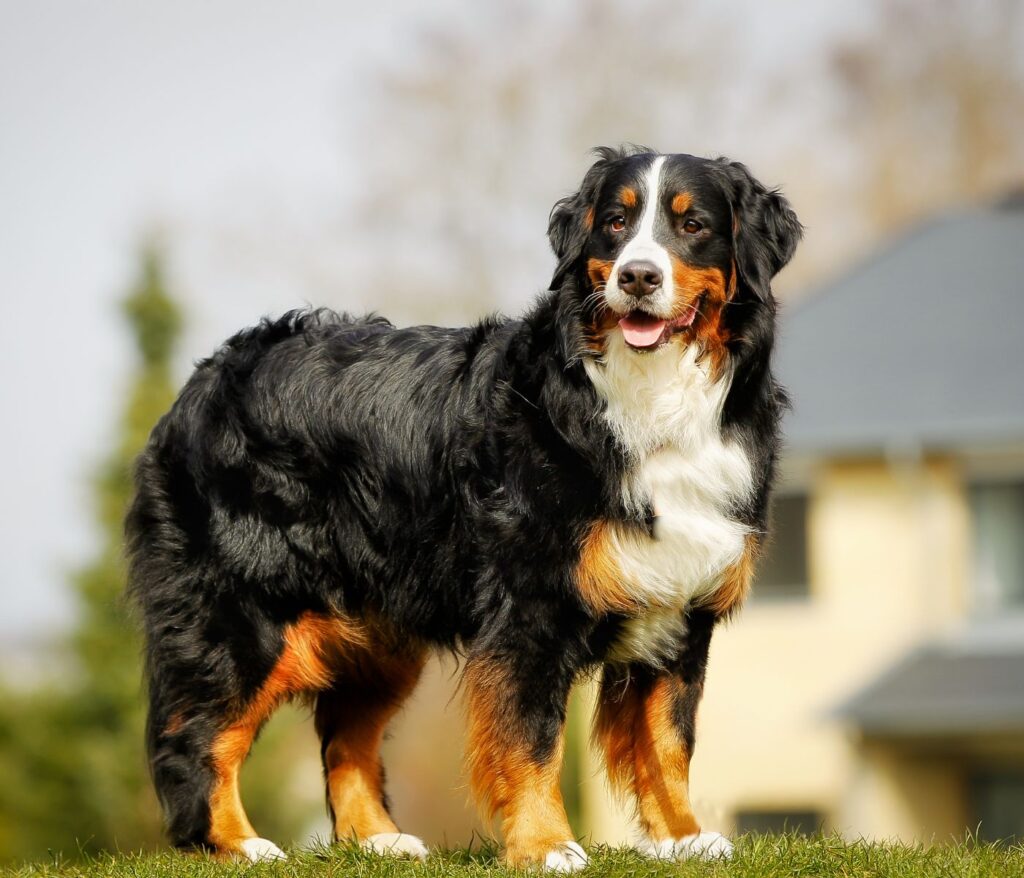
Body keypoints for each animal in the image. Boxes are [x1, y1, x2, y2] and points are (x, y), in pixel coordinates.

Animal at [125, 147, 798, 864]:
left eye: (692, 224)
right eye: (615, 223)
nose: (638, 276)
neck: (649, 400)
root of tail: (207, 377)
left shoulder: (681, 605)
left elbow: (670, 740)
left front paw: (684, 838)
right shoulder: (530, 609)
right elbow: (531, 737)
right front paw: (546, 846)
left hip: (379, 631)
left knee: (345, 736)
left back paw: (378, 840)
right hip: (244, 613)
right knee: (196, 736)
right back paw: (236, 845)